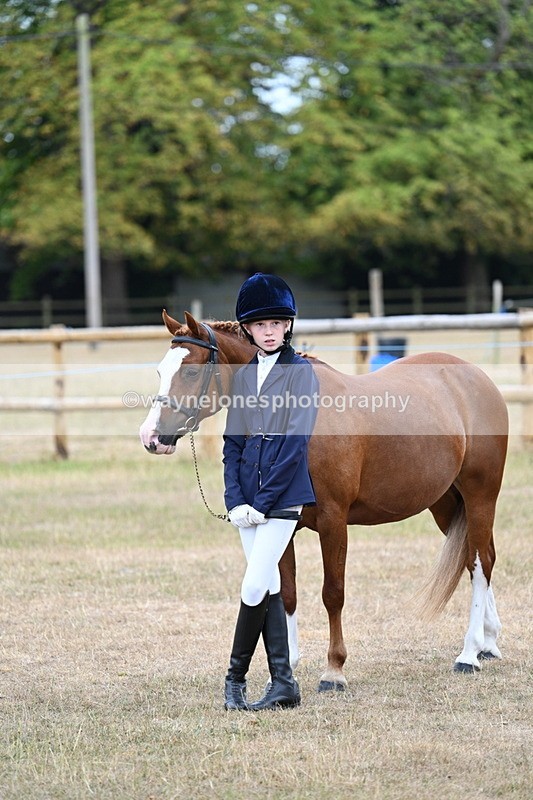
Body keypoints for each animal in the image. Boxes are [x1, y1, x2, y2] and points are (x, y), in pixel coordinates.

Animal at [140, 310, 509, 689]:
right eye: (160, 371)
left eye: (190, 371)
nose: (151, 437)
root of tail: (474, 376)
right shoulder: (279, 521)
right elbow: (286, 594)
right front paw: (284, 670)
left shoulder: (334, 522)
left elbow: (333, 593)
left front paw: (334, 670)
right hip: (446, 504)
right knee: (478, 556)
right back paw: (488, 642)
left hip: (480, 495)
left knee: (480, 563)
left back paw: (469, 653)